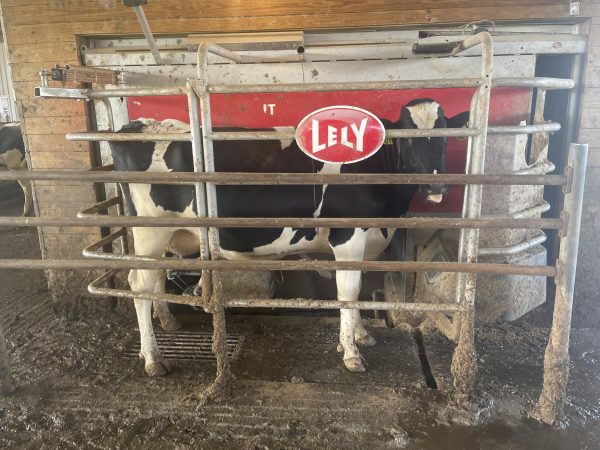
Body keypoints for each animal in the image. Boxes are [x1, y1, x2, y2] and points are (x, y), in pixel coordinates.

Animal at [109, 99, 454, 376]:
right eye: (408, 141)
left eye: (444, 139)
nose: (436, 187)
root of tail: (138, 125)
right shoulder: (348, 236)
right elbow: (348, 291)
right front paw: (352, 353)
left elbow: (356, 290)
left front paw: (360, 336)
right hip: (151, 230)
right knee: (139, 285)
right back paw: (153, 358)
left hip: (164, 235)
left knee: (155, 278)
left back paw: (167, 323)